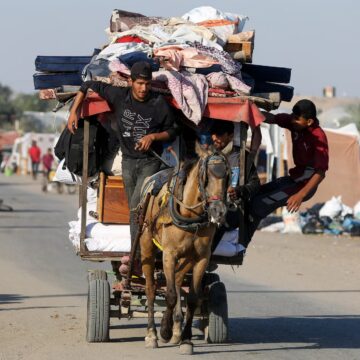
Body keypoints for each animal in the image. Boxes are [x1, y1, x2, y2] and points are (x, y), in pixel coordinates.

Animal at [139, 143, 231, 354]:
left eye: (229, 175)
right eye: (206, 177)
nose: (219, 212)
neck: (190, 215)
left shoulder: (201, 258)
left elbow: (193, 298)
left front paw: (186, 339)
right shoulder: (169, 255)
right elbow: (171, 295)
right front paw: (164, 331)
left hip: (187, 257)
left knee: (179, 279)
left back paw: (176, 329)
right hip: (147, 245)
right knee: (151, 289)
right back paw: (152, 334)